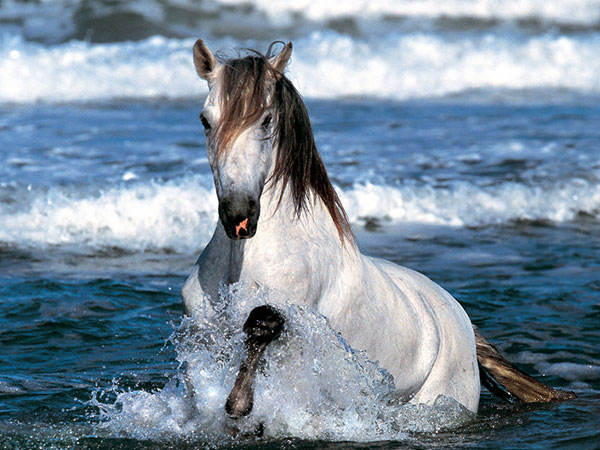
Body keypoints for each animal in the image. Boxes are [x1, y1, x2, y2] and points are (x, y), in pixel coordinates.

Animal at [182, 39, 572, 418]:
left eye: (266, 120)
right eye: (204, 120)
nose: (238, 215)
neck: (243, 262)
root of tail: (461, 319)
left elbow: (263, 324)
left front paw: (239, 404)